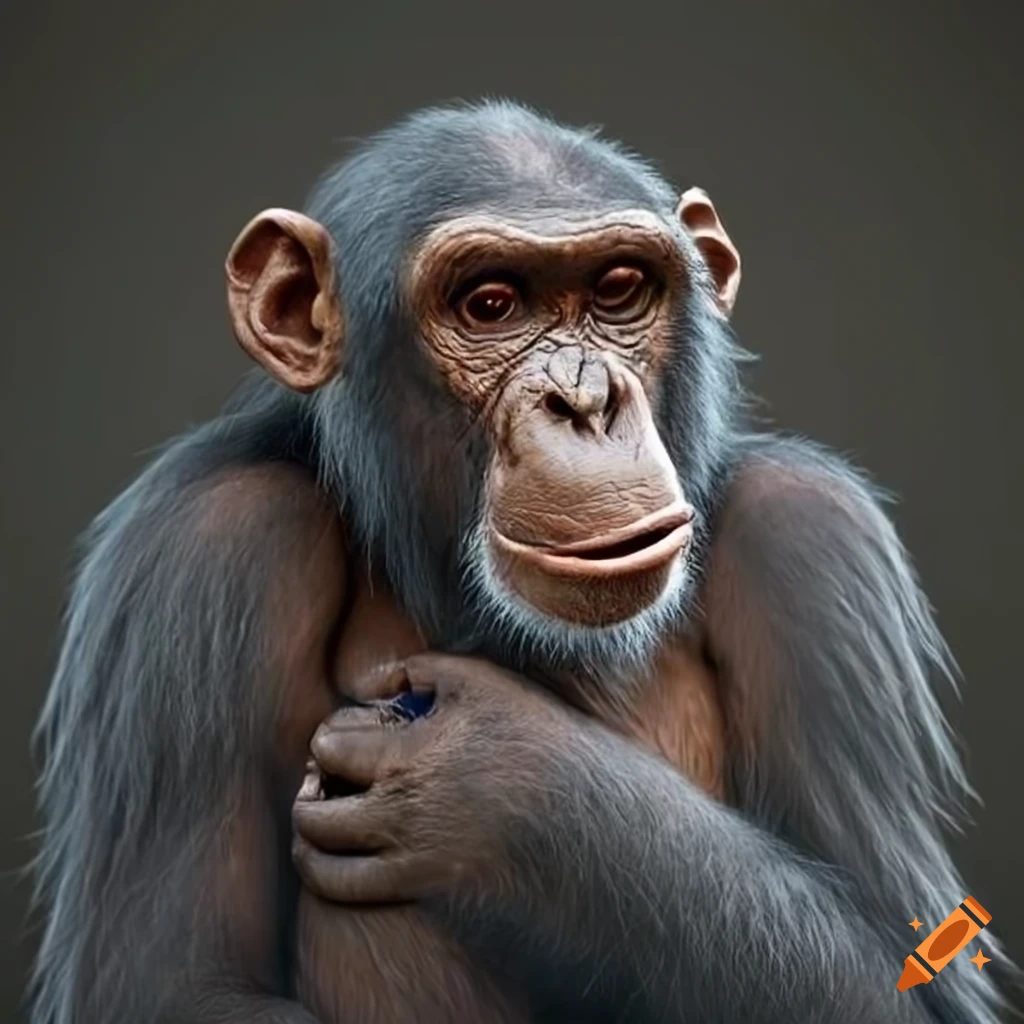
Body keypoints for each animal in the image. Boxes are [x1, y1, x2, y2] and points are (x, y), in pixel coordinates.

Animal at [28, 101, 1012, 1024]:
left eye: (619, 289)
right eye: (490, 304)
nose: (583, 400)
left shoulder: (812, 543)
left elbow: (896, 981)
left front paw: (496, 782)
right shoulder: (204, 549)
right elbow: (182, 989)